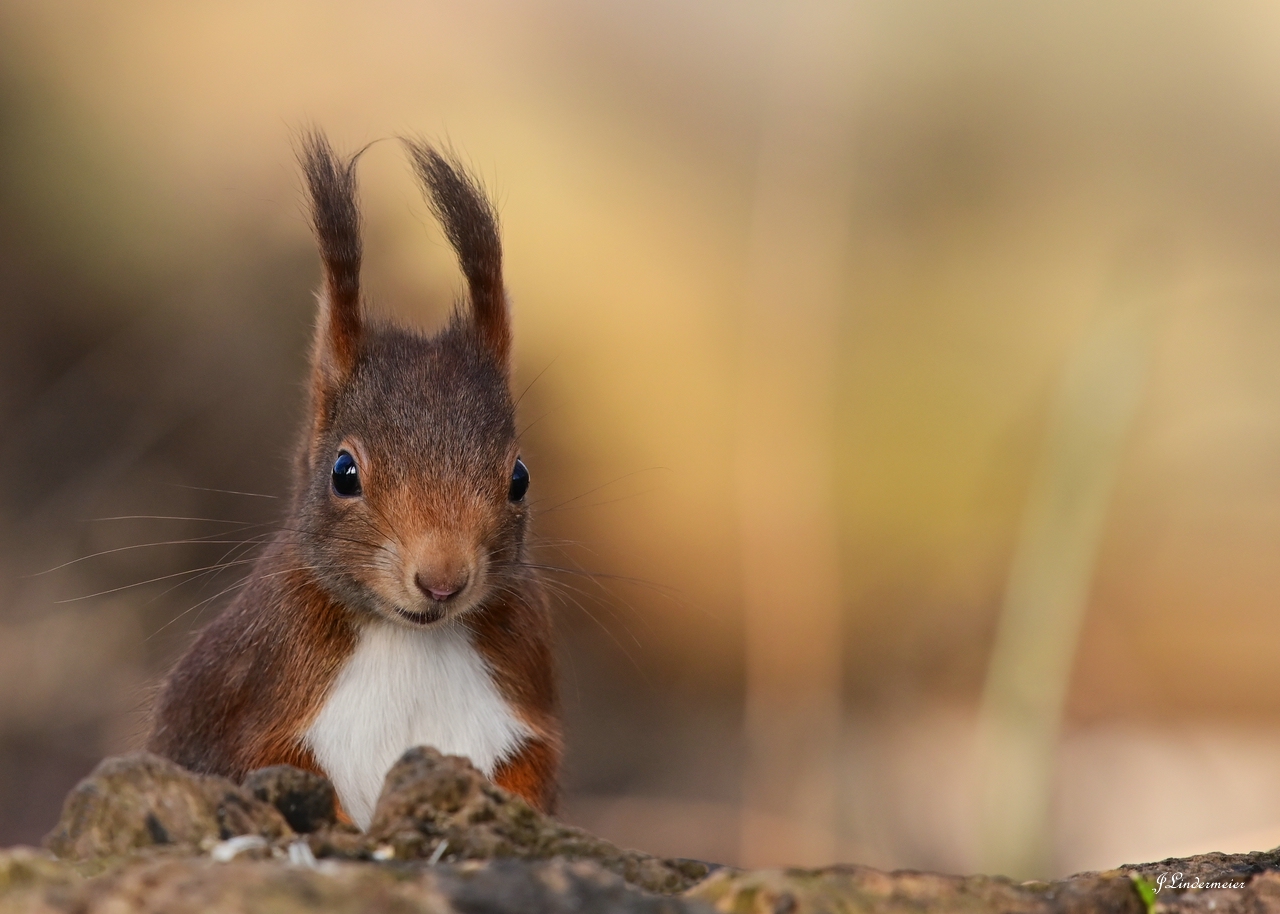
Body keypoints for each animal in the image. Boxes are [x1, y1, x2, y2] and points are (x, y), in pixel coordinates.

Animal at [145, 131, 560, 824]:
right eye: (344, 474)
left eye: (520, 479)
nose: (442, 580)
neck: (411, 638)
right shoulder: (260, 696)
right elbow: (283, 771)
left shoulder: (527, 692)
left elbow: (529, 776)